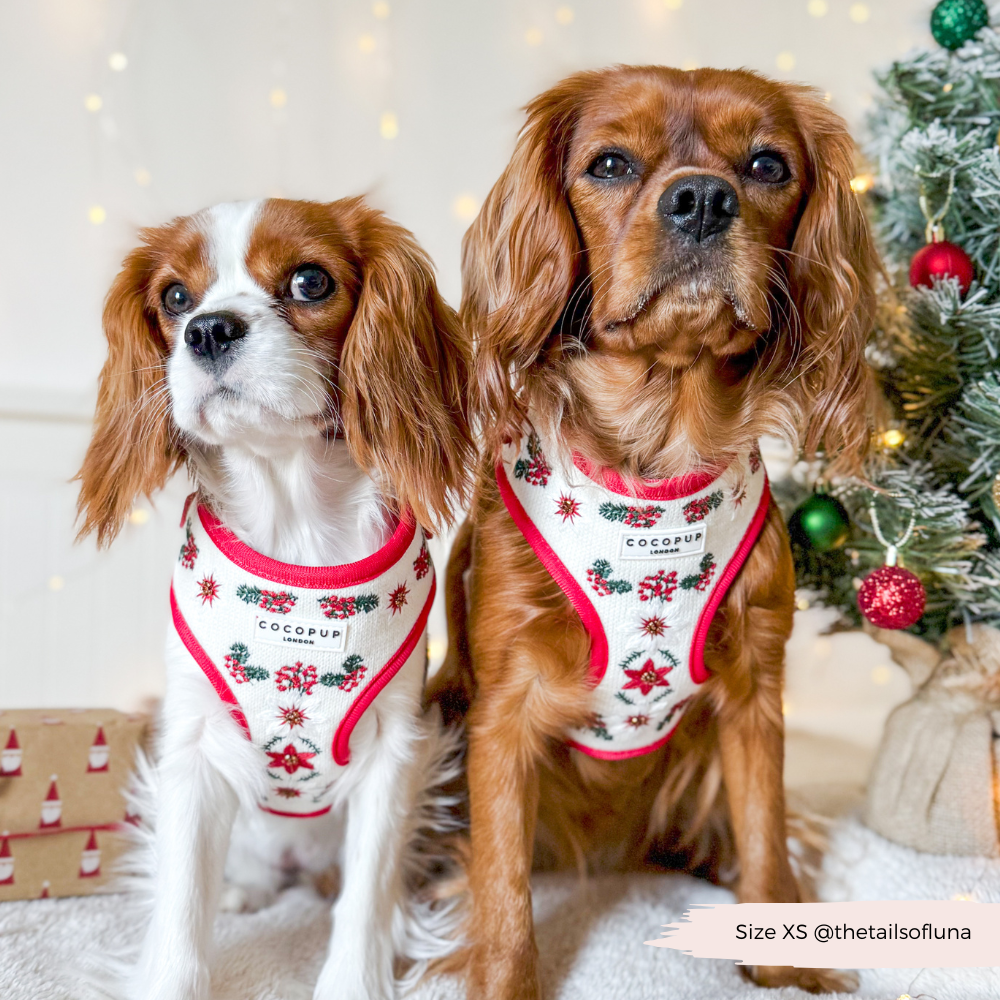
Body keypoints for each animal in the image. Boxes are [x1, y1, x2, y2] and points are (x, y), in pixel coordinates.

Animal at [74, 197, 472, 1000]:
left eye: (310, 281)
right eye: (174, 297)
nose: (208, 329)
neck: (295, 540)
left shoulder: (397, 750)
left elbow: (366, 897)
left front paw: (356, 982)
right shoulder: (193, 745)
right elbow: (181, 905)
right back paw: (243, 887)